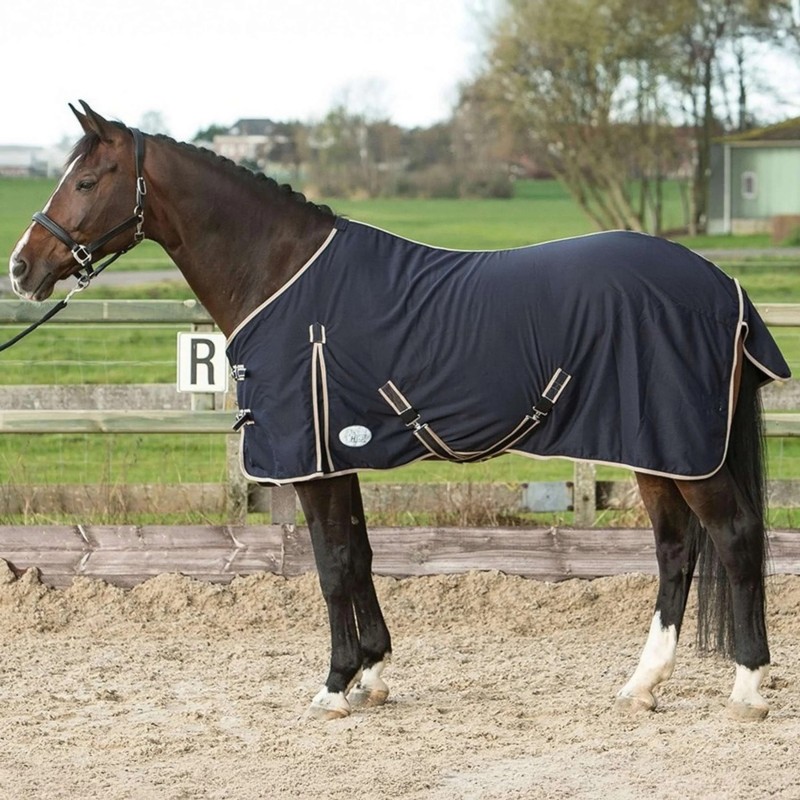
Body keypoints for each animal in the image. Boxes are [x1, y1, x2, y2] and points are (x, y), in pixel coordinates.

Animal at [8, 102, 790, 722]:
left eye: (85, 180)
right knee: (676, 551)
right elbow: (357, 556)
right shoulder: (338, 454)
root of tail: (724, 286)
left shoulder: (311, 462)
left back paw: (748, 690)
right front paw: (374, 673)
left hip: (685, 451)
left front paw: (333, 686)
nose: (21, 267)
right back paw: (642, 685)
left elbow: (330, 565)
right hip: (654, 448)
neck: (283, 277)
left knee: (736, 537)